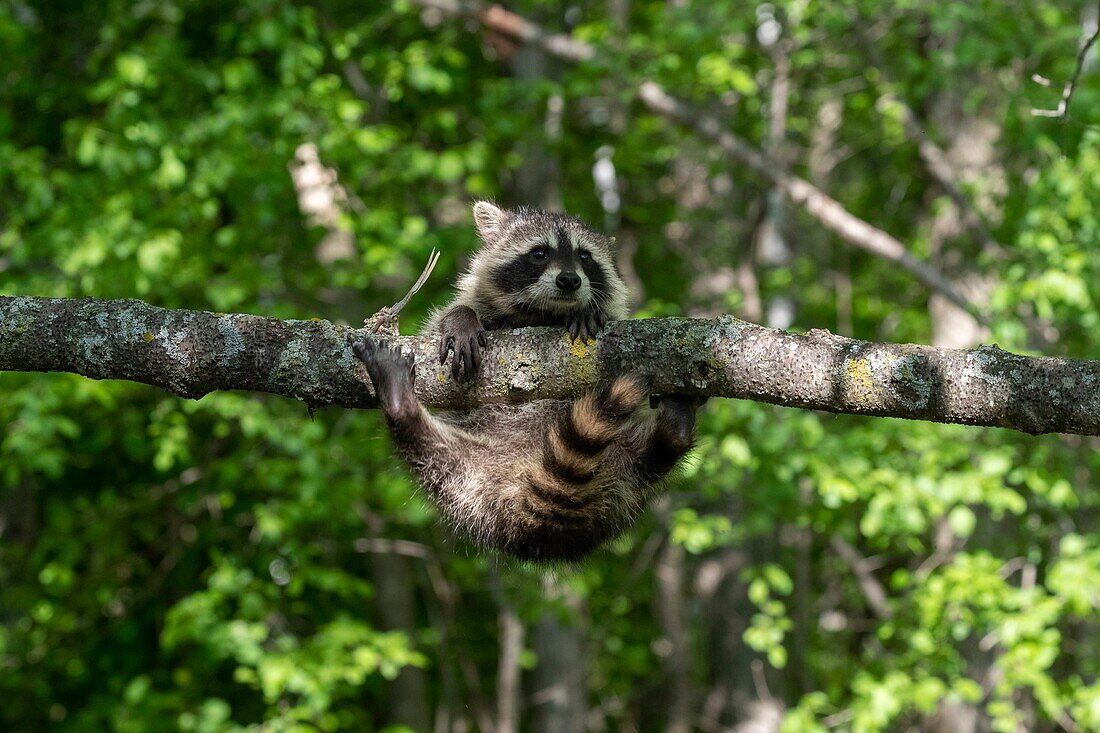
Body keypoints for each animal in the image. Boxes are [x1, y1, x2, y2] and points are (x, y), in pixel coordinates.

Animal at [356, 201, 699, 559]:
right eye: (539, 253)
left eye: (585, 256)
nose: (569, 280)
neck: (543, 312)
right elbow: (443, 320)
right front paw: (461, 319)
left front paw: (588, 311)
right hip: (467, 481)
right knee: (426, 448)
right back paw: (401, 404)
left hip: (623, 476)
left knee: (654, 457)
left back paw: (674, 428)